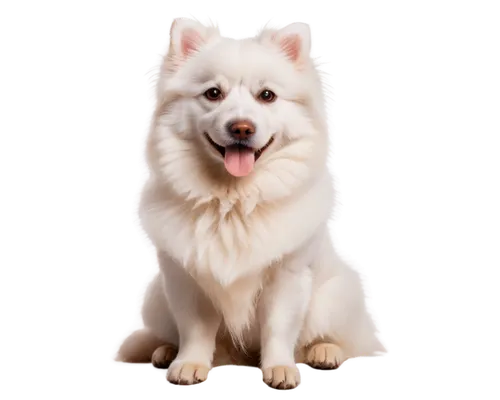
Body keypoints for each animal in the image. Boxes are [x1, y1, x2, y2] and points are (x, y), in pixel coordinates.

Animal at [111, 17, 388, 390]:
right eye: (213, 93)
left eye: (266, 96)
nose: (241, 128)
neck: (233, 201)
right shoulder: (187, 280)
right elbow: (196, 329)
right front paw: (189, 364)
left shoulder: (287, 277)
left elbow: (278, 328)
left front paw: (280, 369)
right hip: (156, 297)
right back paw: (165, 351)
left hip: (338, 295)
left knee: (338, 338)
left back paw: (325, 352)